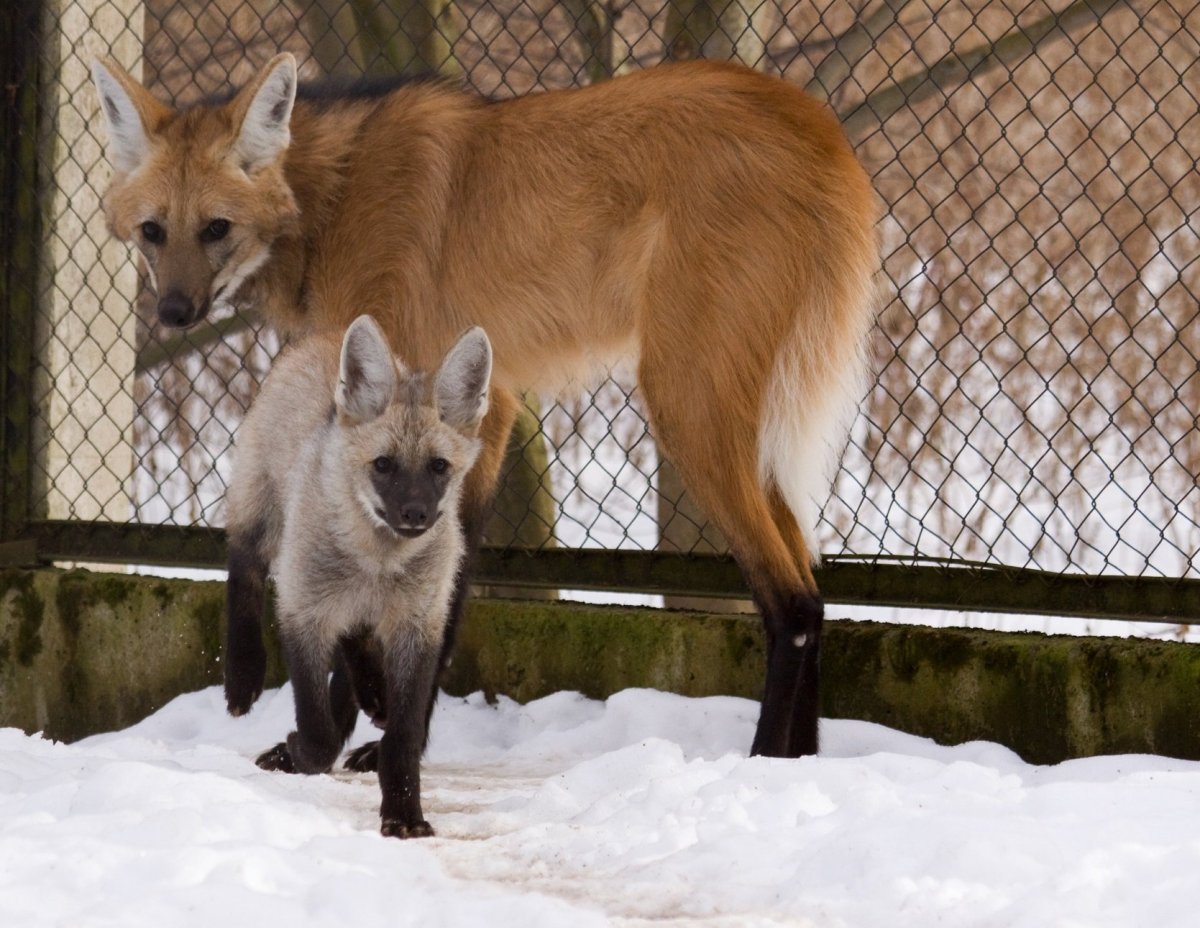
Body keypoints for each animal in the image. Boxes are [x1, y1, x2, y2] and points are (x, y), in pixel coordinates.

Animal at [92, 54, 880, 759]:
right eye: (154, 231)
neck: (330, 201)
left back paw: (762, 764)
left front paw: (365, 727)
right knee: (815, 590)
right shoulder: (473, 406)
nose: (174, 312)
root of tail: (820, 126)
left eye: (216, 227)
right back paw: (801, 764)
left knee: (793, 605)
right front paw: (368, 727)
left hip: (688, 399)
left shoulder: (449, 401)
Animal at [224, 313, 492, 838]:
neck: (376, 567)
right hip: (261, 518)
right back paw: (243, 676)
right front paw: (298, 750)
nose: (415, 514)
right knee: (242, 568)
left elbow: (403, 738)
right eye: (383, 465)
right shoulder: (302, 612)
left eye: (438, 467)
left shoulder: (418, 626)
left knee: (357, 644)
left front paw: (404, 813)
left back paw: (371, 692)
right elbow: (317, 732)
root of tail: (325, 334)